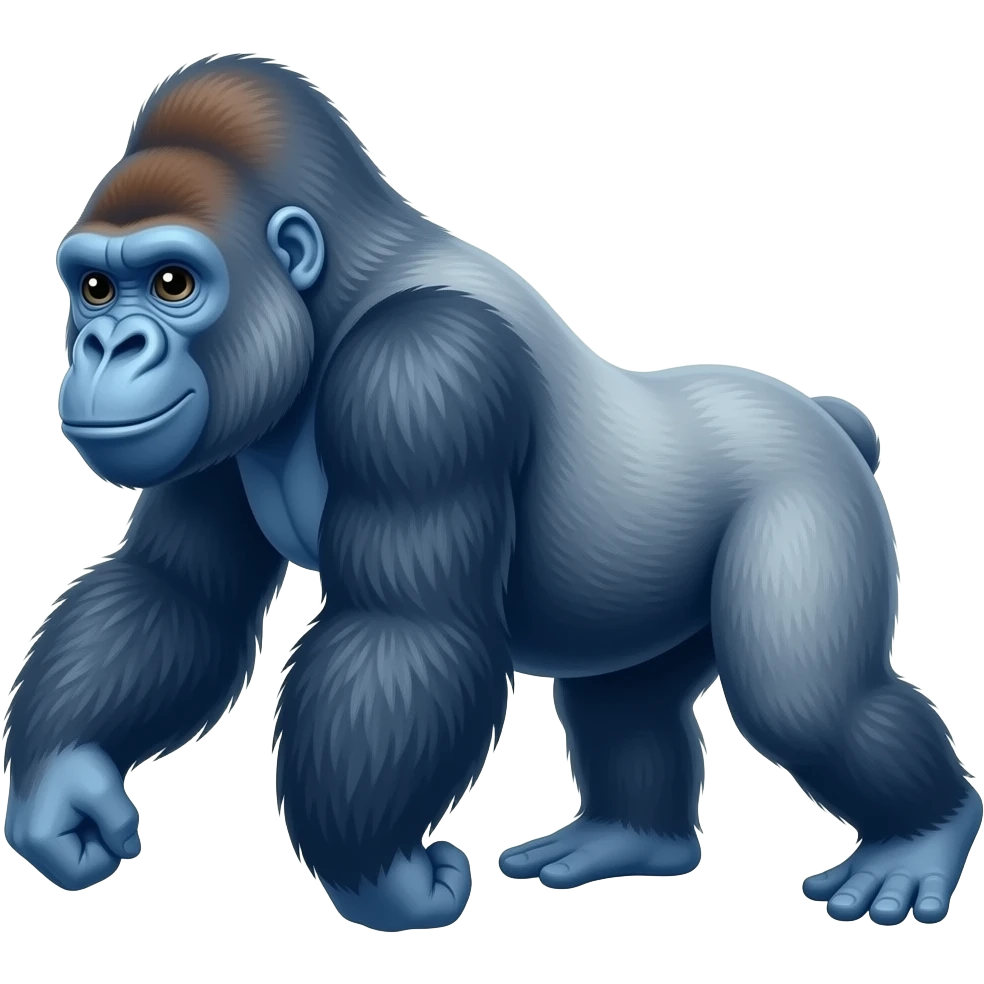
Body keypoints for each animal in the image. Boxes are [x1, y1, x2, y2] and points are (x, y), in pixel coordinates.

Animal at [3, 52, 979, 933]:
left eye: (173, 282)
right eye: (95, 287)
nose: (106, 346)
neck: (337, 293)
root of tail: (821, 414)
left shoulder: (425, 371)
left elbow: (406, 630)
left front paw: (381, 882)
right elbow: (176, 590)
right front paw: (62, 789)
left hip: (804, 490)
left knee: (808, 703)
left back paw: (922, 837)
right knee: (628, 703)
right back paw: (634, 840)